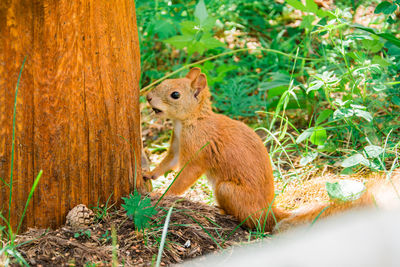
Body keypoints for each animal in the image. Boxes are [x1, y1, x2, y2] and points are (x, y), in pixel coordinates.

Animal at [145, 68, 400, 233]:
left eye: (175, 94)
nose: (147, 97)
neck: (190, 121)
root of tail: (269, 211)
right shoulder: (176, 144)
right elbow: (168, 162)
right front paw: (149, 174)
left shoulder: (198, 149)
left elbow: (184, 176)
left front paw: (163, 194)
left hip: (227, 189)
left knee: (252, 222)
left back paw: (227, 213)